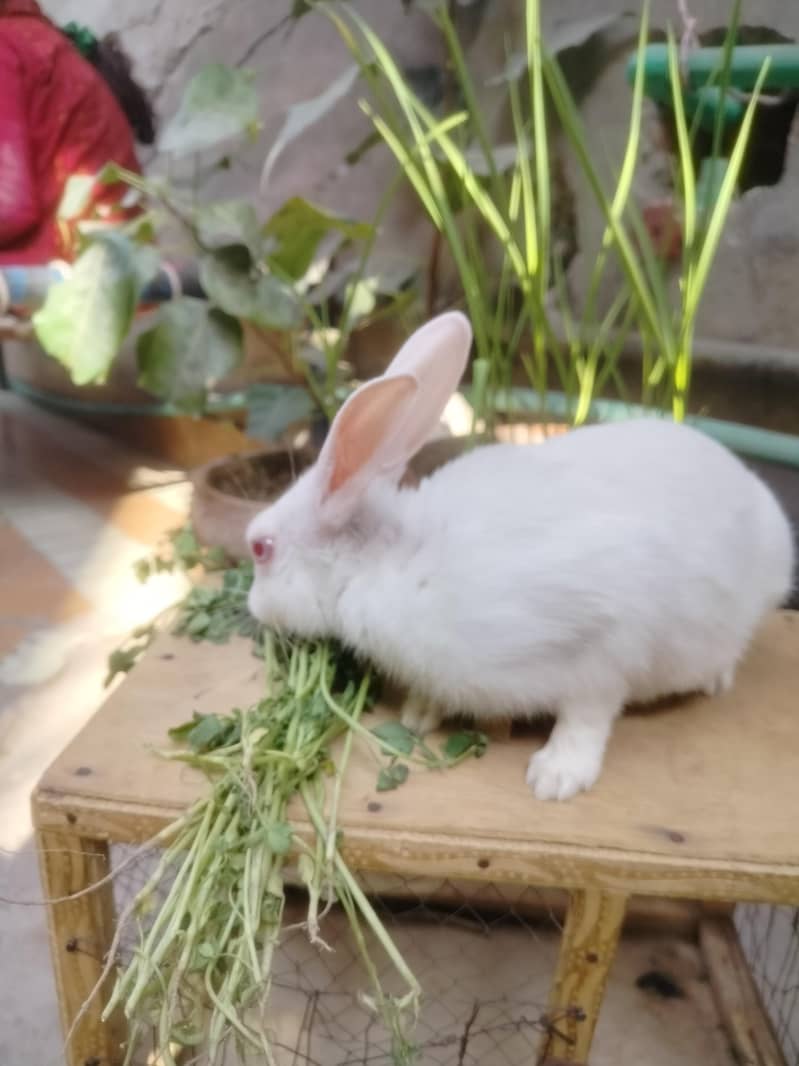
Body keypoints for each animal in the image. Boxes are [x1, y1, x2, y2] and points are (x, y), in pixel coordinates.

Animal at [246, 311, 795, 801]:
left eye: (260, 547)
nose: (252, 608)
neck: (392, 558)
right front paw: (417, 716)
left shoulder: (605, 643)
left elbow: (587, 715)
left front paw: (555, 779)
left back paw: (716, 679)